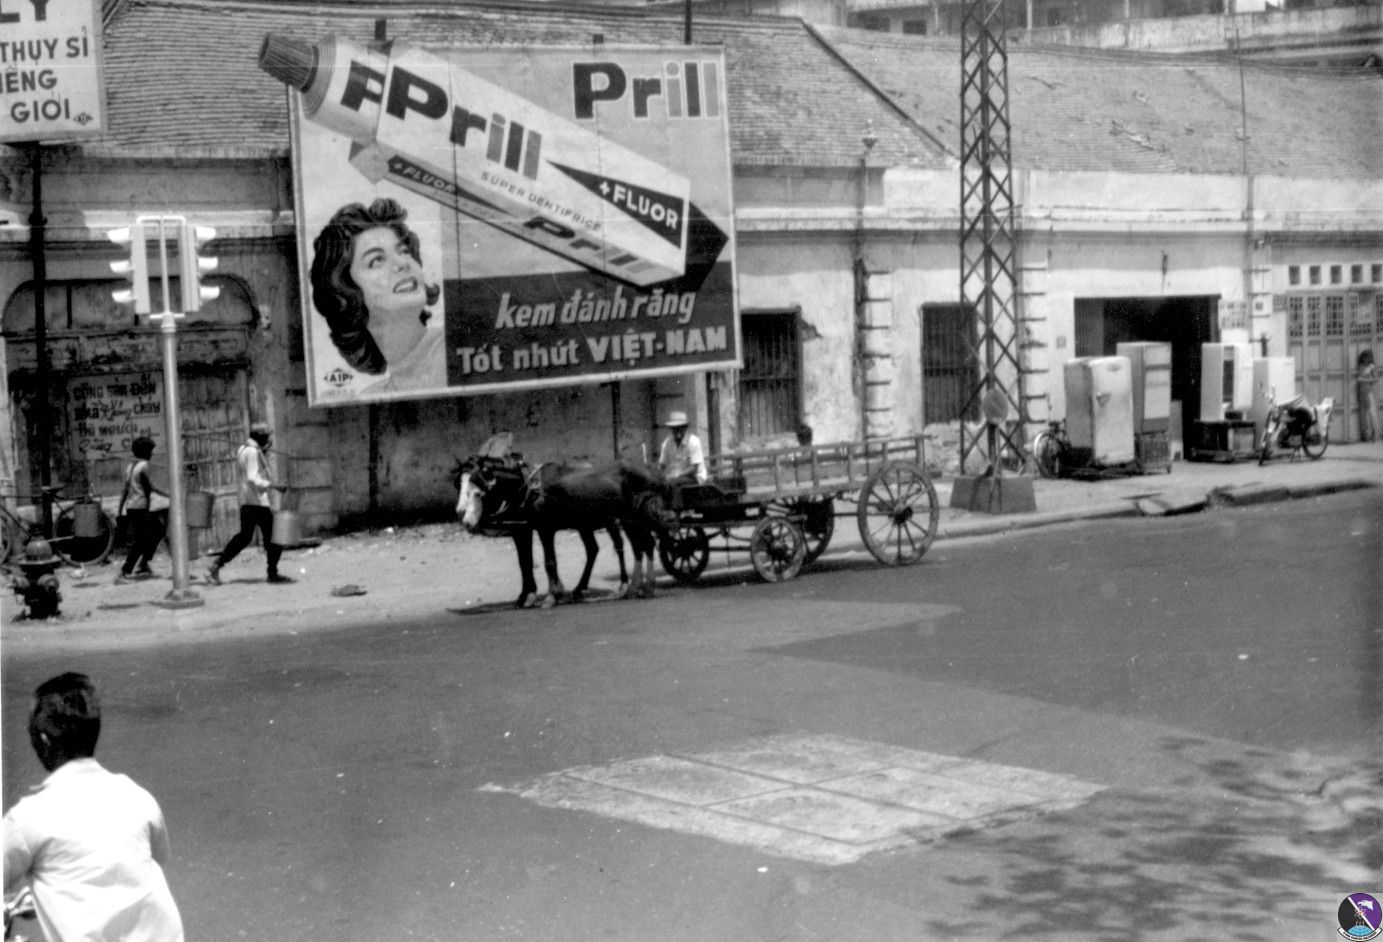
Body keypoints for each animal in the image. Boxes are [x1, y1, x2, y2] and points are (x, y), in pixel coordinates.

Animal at [454, 437, 671, 609]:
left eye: (479, 492)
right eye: (460, 485)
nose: (465, 521)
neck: (529, 487)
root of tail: (651, 471)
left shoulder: (543, 529)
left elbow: (548, 562)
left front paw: (550, 597)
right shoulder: (525, 528)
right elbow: (526, 562)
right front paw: (531, 596)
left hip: (633, 519)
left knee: (642, 545)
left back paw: (643, 587)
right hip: (628, 521)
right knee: (636, 547)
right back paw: (631, 588)